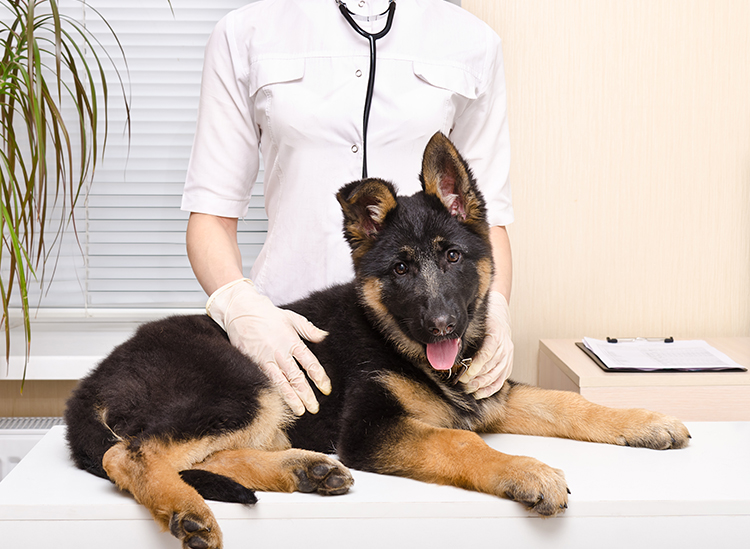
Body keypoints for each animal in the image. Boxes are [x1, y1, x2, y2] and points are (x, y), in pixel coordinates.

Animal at [66, 133, 692, 548]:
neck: (398, 342)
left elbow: (567, 403)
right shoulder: (371, 428)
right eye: (400, 270)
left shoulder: (490, 394)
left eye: (453, 256)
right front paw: (527, 470)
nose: (442, 325)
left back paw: (304, 471)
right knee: (134, 453)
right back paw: (188, 509)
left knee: (209, 453)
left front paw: (645, 421)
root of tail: (89, 385)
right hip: (243, 382)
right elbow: (462, 444)